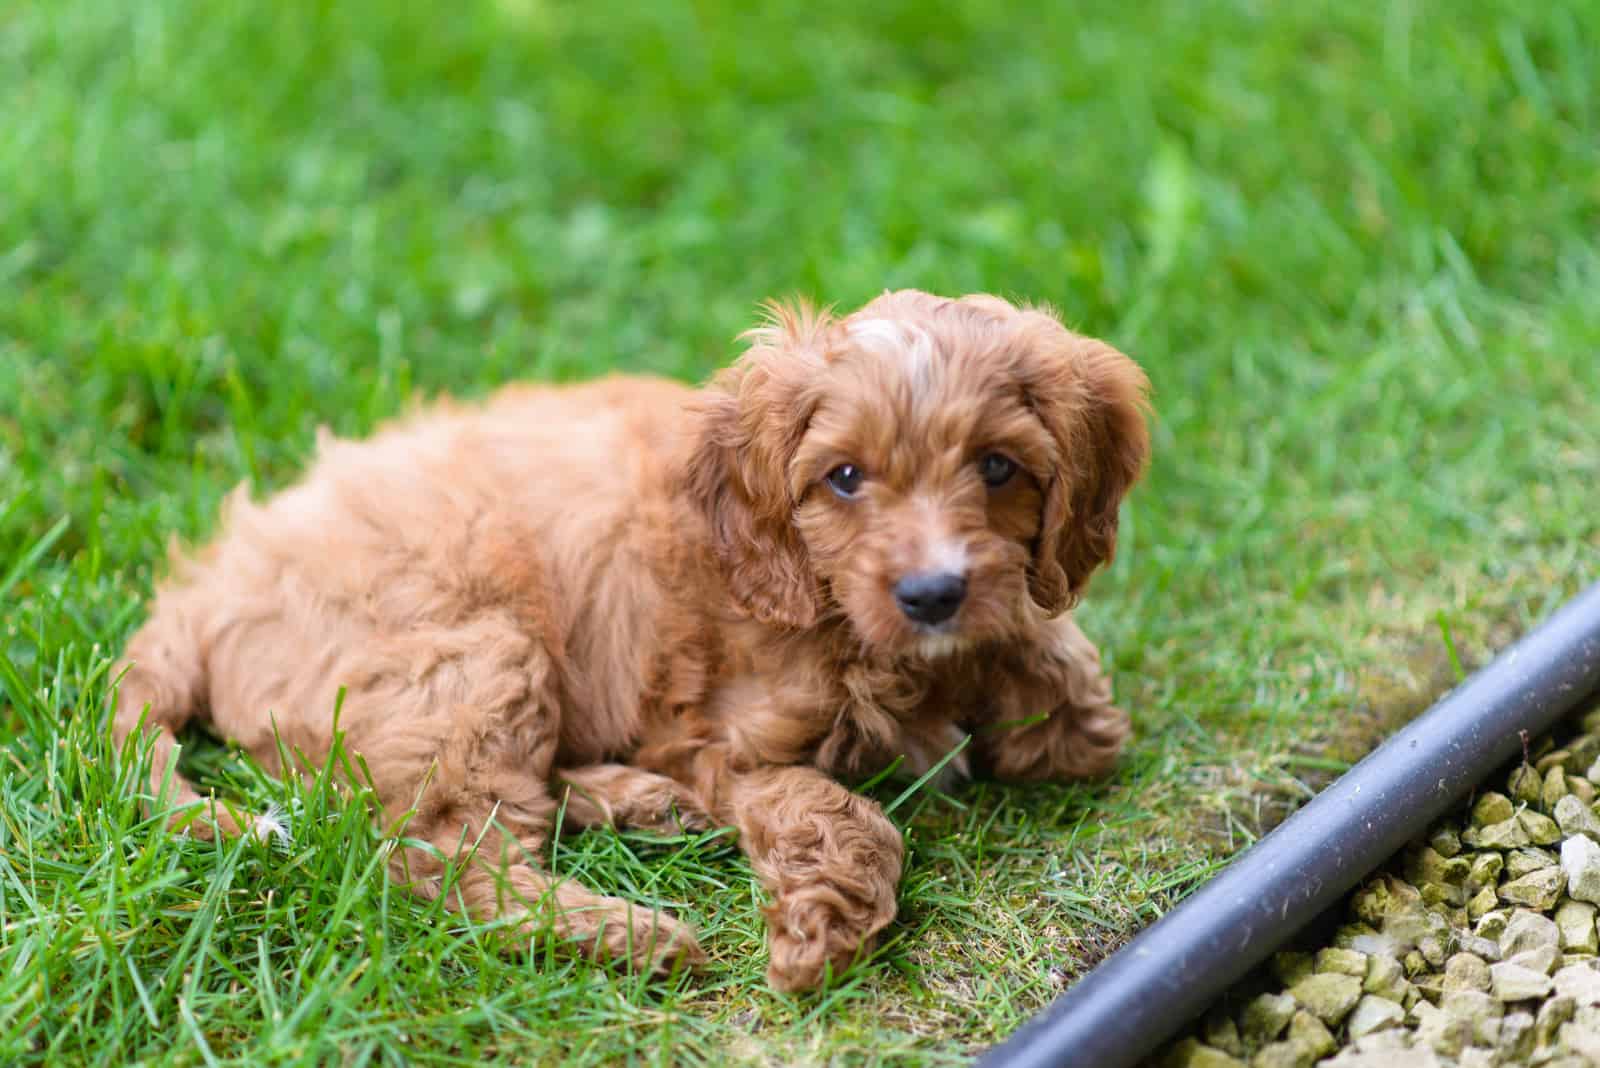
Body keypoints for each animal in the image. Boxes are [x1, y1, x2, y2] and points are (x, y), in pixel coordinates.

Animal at [112, 287, 1152, 991]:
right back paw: (634, 931)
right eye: (845, 478)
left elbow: (1078, 711)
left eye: (998, 468)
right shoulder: (721, 740)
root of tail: (205, 586)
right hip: (477, 649)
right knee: (440, 855)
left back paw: (641, 807)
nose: (934, 594)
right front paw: (821, 929)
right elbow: (843, 810)